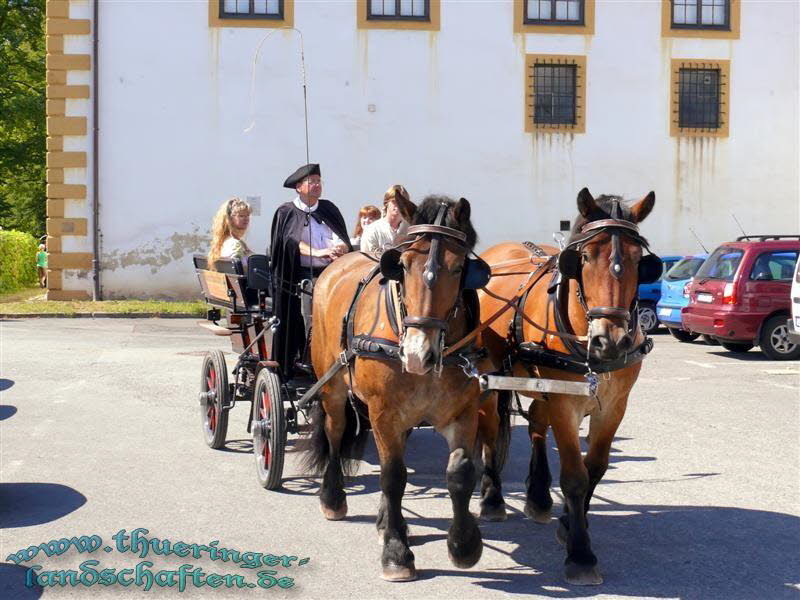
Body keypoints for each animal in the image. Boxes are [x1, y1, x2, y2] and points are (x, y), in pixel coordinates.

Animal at [304, 196, 494, 580]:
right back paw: (333, 498)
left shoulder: (463, 412)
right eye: (403, 265)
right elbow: (393, 476)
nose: (418, 354)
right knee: (335, 433)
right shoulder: (383, 412)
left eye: (458, 268)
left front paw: (464, 545)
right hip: (332, 387)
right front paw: (396, 551)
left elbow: (460, 472)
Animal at [478, 189, 660, 584]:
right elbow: (575, 476)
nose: (611, 341)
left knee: (535, 423)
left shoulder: (615, 405)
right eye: (585, 256)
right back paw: (492, 498)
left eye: (640, 260)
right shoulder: (565, 402)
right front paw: (580, 554)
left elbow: (596, 468)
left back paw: (538, 496)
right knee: (489, 431)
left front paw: (569, 523)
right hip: (487, 382)